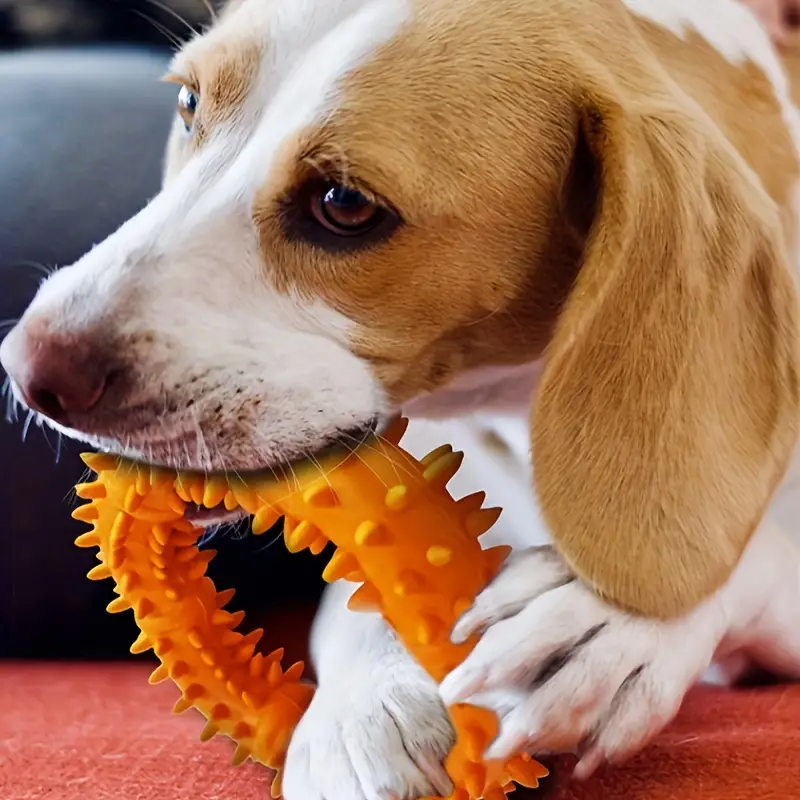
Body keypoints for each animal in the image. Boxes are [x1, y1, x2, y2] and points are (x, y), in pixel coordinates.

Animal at [2, 0, 800, 797]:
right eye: (189, 103)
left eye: (345, 203)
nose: (27, 366)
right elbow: (368, 587)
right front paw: (367, 704)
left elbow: (747, 557)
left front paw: (605, 617)